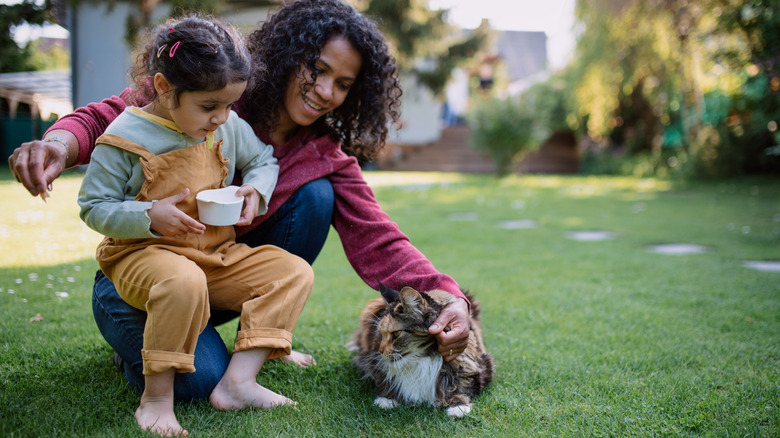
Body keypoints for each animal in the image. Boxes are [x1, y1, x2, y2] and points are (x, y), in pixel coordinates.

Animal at [348, 284, 494, 418]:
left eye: (396, 334)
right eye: (381, 334)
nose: (380, 350)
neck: (421, 360)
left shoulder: (475, 364)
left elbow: (463, 386)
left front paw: (458, 407)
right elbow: (384, 380)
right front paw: (386, 399)